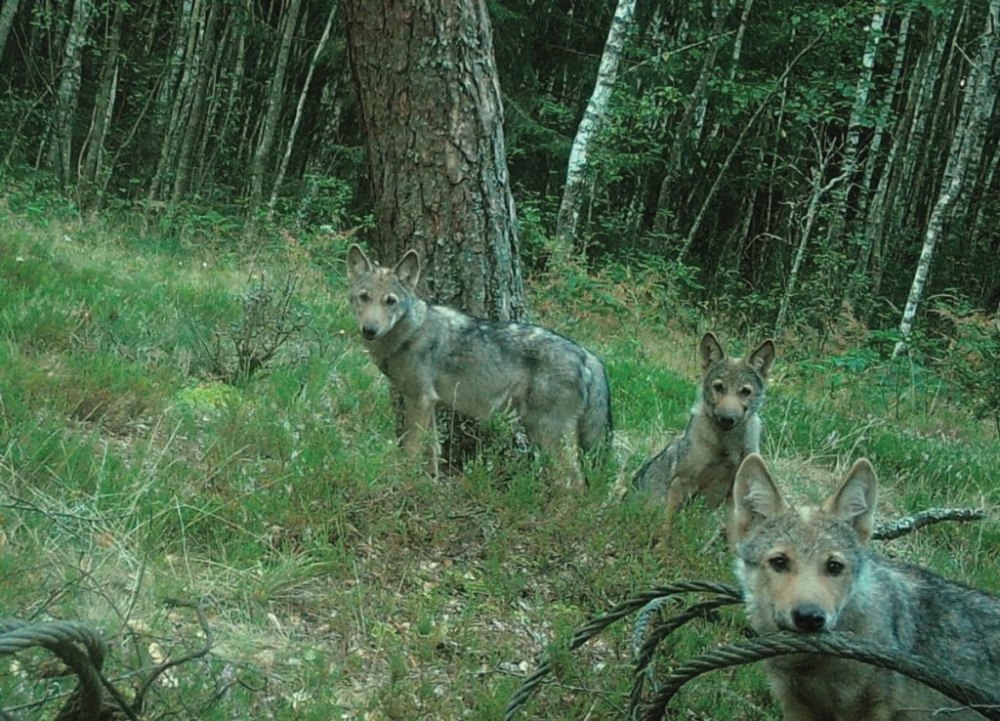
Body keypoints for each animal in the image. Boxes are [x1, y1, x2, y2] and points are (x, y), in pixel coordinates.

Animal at [344, 245, 612, 486]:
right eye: (364, 297)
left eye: (390, 301)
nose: (369, 330)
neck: (411, 332)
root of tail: (587, 355)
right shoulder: (430, 403)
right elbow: (432, 451)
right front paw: (430, 485)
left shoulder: (419, 400)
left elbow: (410, 451)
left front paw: (402, 485)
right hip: (540, 430)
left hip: (548, 433)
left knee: (575, 481)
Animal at [632, 334, 772, 532]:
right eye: (719, 387)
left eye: (745, 391)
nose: (727, 419)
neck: (727, 448)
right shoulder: (682, 482)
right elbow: (667, 526)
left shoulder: (733, 496)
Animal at [728, 450, 1000, 720]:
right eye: (779, 562)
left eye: (834, 566)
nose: (810, 617)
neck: (813, 666)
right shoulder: (795, 707)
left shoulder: (874, 710)